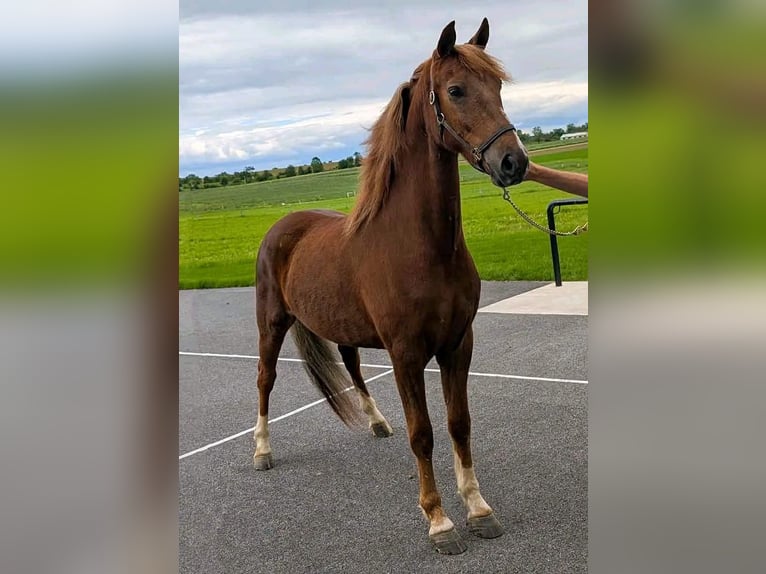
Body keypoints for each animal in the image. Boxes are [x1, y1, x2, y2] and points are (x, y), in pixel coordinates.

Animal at [253, 18, 529, 555]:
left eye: (498, 86)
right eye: (456, 90)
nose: (514, 162)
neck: (423, 248)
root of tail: (283, 226)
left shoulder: (457, 344)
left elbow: (459, 424)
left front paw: (478, 509)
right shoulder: (405, 354)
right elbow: (423, 433)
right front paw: (440, 522)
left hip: (342, 328)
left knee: (351, 365)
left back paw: (376, 421)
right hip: (272, 325)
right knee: (265, 379)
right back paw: (261, 450)